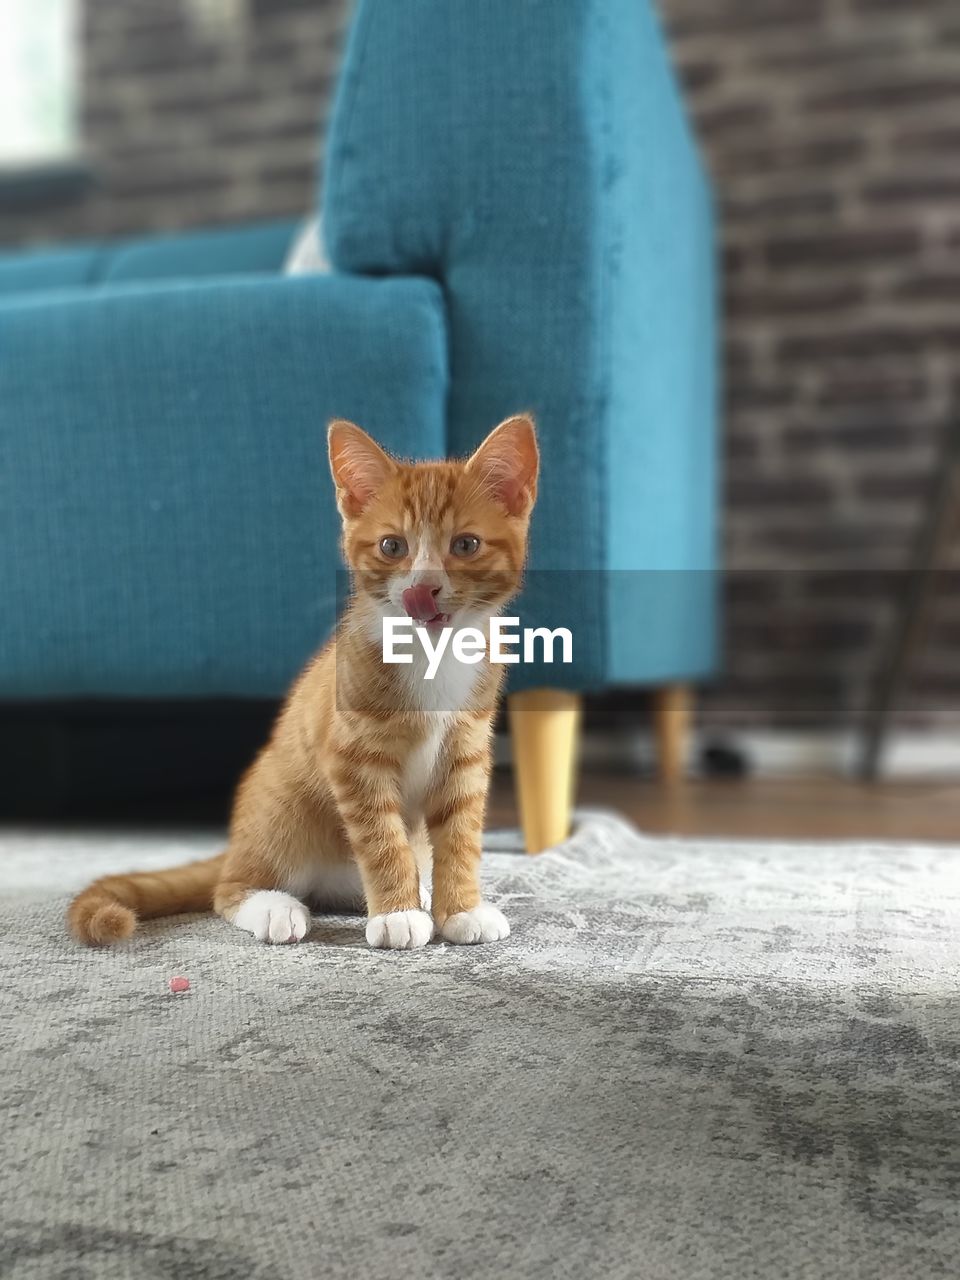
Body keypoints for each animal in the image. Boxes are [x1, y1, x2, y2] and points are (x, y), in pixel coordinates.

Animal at [69, 414, 542, 947]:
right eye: (392, 546)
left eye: (465, 545)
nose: (422, 588)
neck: (432, 655)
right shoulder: (352, 757)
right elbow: (382, 838)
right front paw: (398, 913)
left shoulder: (466, 748)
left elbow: (461, 833)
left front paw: (461, 908)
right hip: (281, 807)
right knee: (228, 888)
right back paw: (276, 906)